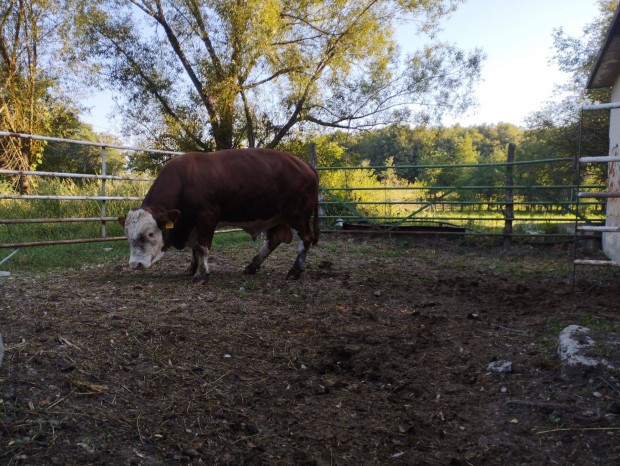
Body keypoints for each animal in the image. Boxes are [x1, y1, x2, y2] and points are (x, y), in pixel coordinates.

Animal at [118, 149, 320, 280]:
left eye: (150, 234)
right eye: (127, 235)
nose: (135, 264)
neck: (184, 181)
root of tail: (306, 165)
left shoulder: (207, 218)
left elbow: (202, 246)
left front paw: (202, 274)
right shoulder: (192, 223)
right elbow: (195, 248)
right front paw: (192, 268)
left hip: (298, 216)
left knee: (305, 239)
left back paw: (294, 271)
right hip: (276, 217)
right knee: (272, 241)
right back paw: (252, 266)